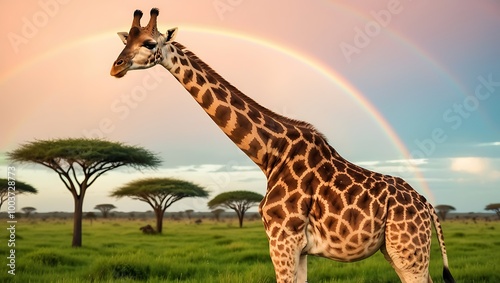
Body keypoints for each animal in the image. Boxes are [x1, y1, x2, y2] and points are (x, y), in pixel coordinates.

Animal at [111, 7, 456, 282]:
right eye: (125, 42)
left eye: (149, 43)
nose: (116, 66)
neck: (269, 154)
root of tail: (426, 204)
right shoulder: (297, 247)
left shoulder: (282, 238)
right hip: (396, 250)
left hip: (409, 249)